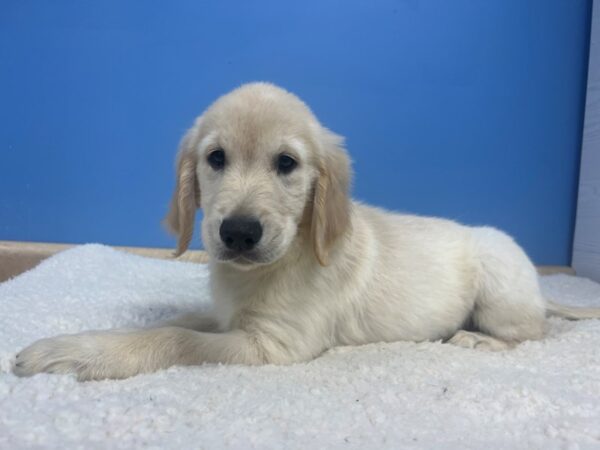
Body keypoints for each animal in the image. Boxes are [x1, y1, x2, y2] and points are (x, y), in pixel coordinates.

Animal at [15, 81, 600, 380]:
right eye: (216, 158)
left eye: (287, 164)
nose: (239, 232)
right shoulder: (228, 317)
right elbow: (180, 320)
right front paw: (80, 342)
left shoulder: (274, 345)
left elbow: (177, 338)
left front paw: (88, 356)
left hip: (501, 290)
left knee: (534, 332)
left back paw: (477, 339)